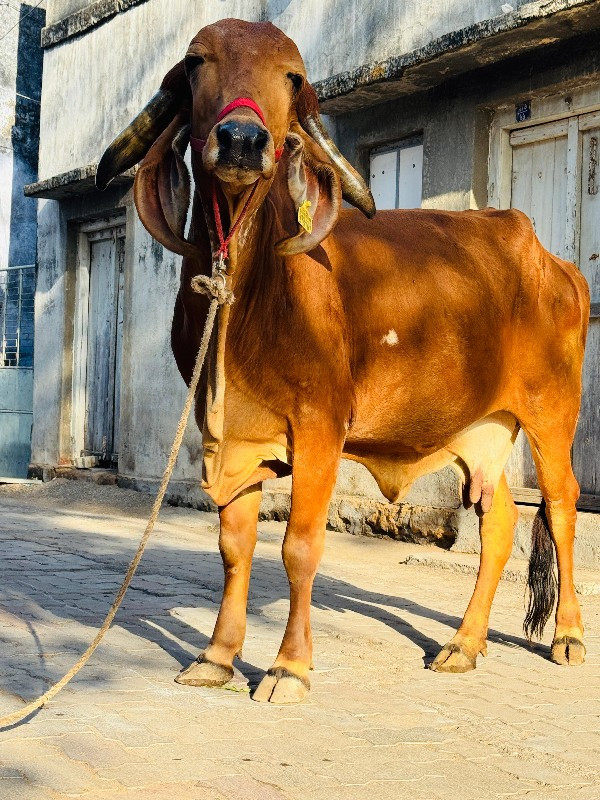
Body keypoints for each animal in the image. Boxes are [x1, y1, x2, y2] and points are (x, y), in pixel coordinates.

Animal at [96, 18, 588, 704]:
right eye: (196, 63)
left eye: (292, 76)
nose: (242, 139)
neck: (251, 289)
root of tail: (551, 259)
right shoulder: (230, 434)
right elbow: (234, 545)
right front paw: (217, 656)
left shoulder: (320, 427)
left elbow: (299, 547)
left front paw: (288, 667)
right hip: (485, 429)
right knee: (497, 526)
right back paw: (463, 644)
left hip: (551, 413)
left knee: (562, 508)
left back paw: (567, 636)